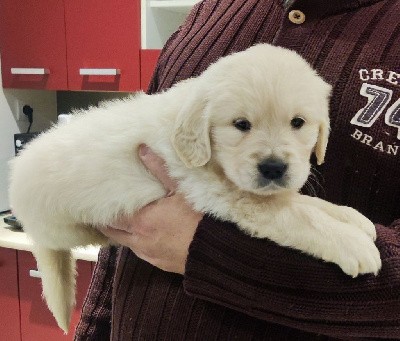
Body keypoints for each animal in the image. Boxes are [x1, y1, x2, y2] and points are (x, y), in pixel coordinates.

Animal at [7, 44, 382, 332]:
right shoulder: (233, 196)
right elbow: (299, 217)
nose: (274, 168)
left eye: (298, 123)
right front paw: (354, 244)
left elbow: (305, 203)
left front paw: (352, 218)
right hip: (57, 226)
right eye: (241, 125)